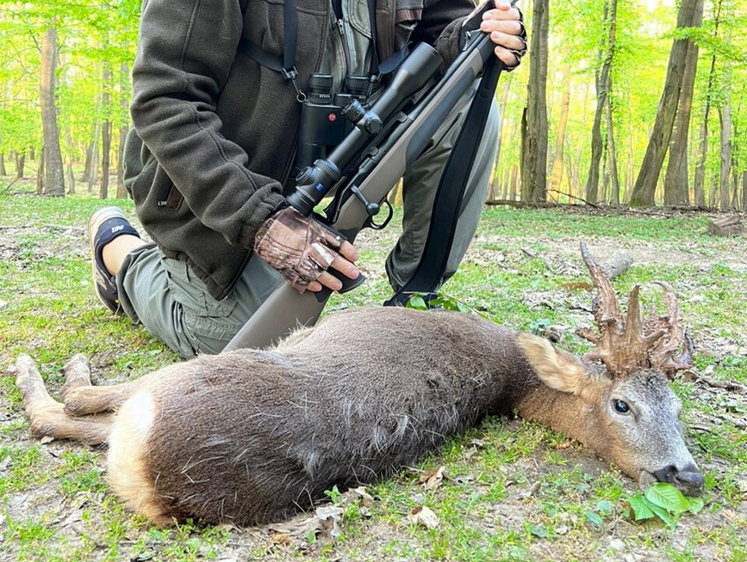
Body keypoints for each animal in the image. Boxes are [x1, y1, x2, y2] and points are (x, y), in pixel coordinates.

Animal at [14, 242, 704, 524]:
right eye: (625, 404)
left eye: (674, 408)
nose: (687, 473)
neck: (509, 367)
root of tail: (150, 479)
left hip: (185, 377)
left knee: (74, 407)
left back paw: (38, 367)